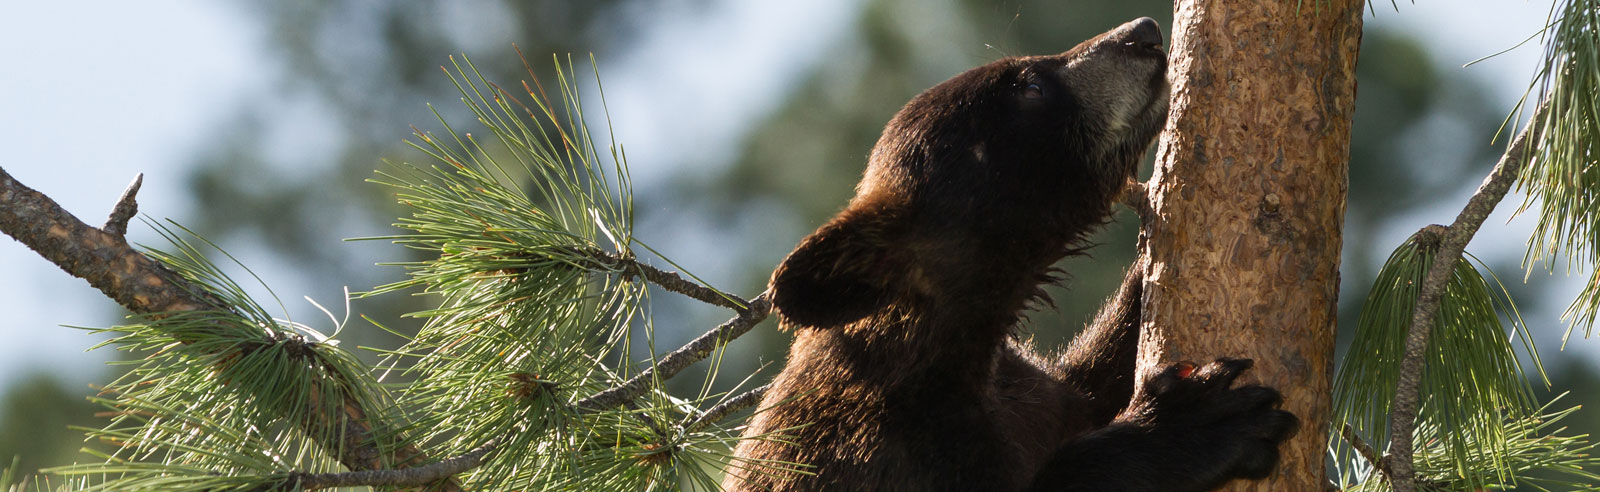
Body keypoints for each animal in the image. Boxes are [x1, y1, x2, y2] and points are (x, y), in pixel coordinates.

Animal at [723, 17, 1298, 492]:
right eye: (1029, 85)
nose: (1144, 33)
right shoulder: (898, 451)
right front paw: (1198, 421)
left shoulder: (1027, 391)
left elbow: (1085, 385)